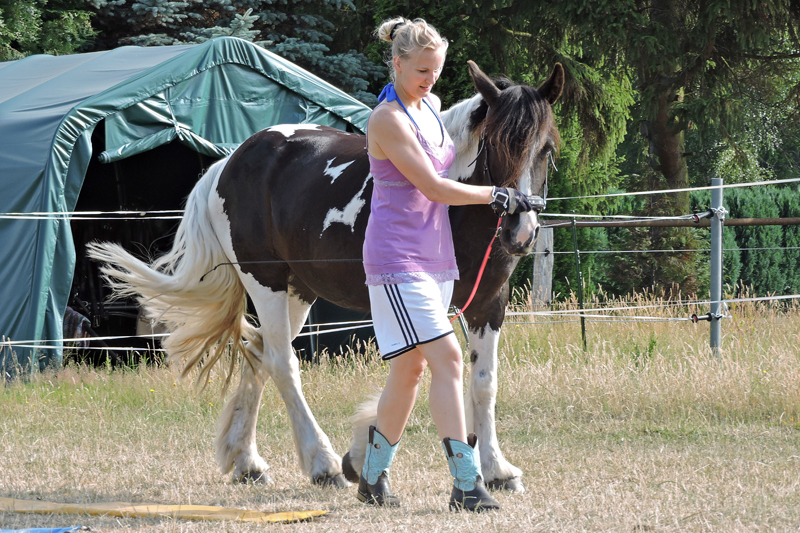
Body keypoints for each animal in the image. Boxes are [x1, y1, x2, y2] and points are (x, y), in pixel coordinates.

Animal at [89, 61, 564, 494]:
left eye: (546, 149)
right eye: (496, 143)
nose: (521, 232)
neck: (454, 210)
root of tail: (229, 163)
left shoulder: (488, 303)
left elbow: (483, 383)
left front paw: (497, 470)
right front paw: (359, 455)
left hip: (298, 292)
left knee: (259, 354)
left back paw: (247, 461)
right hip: (266, 284)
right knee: (282, 363)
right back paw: (322, 463)